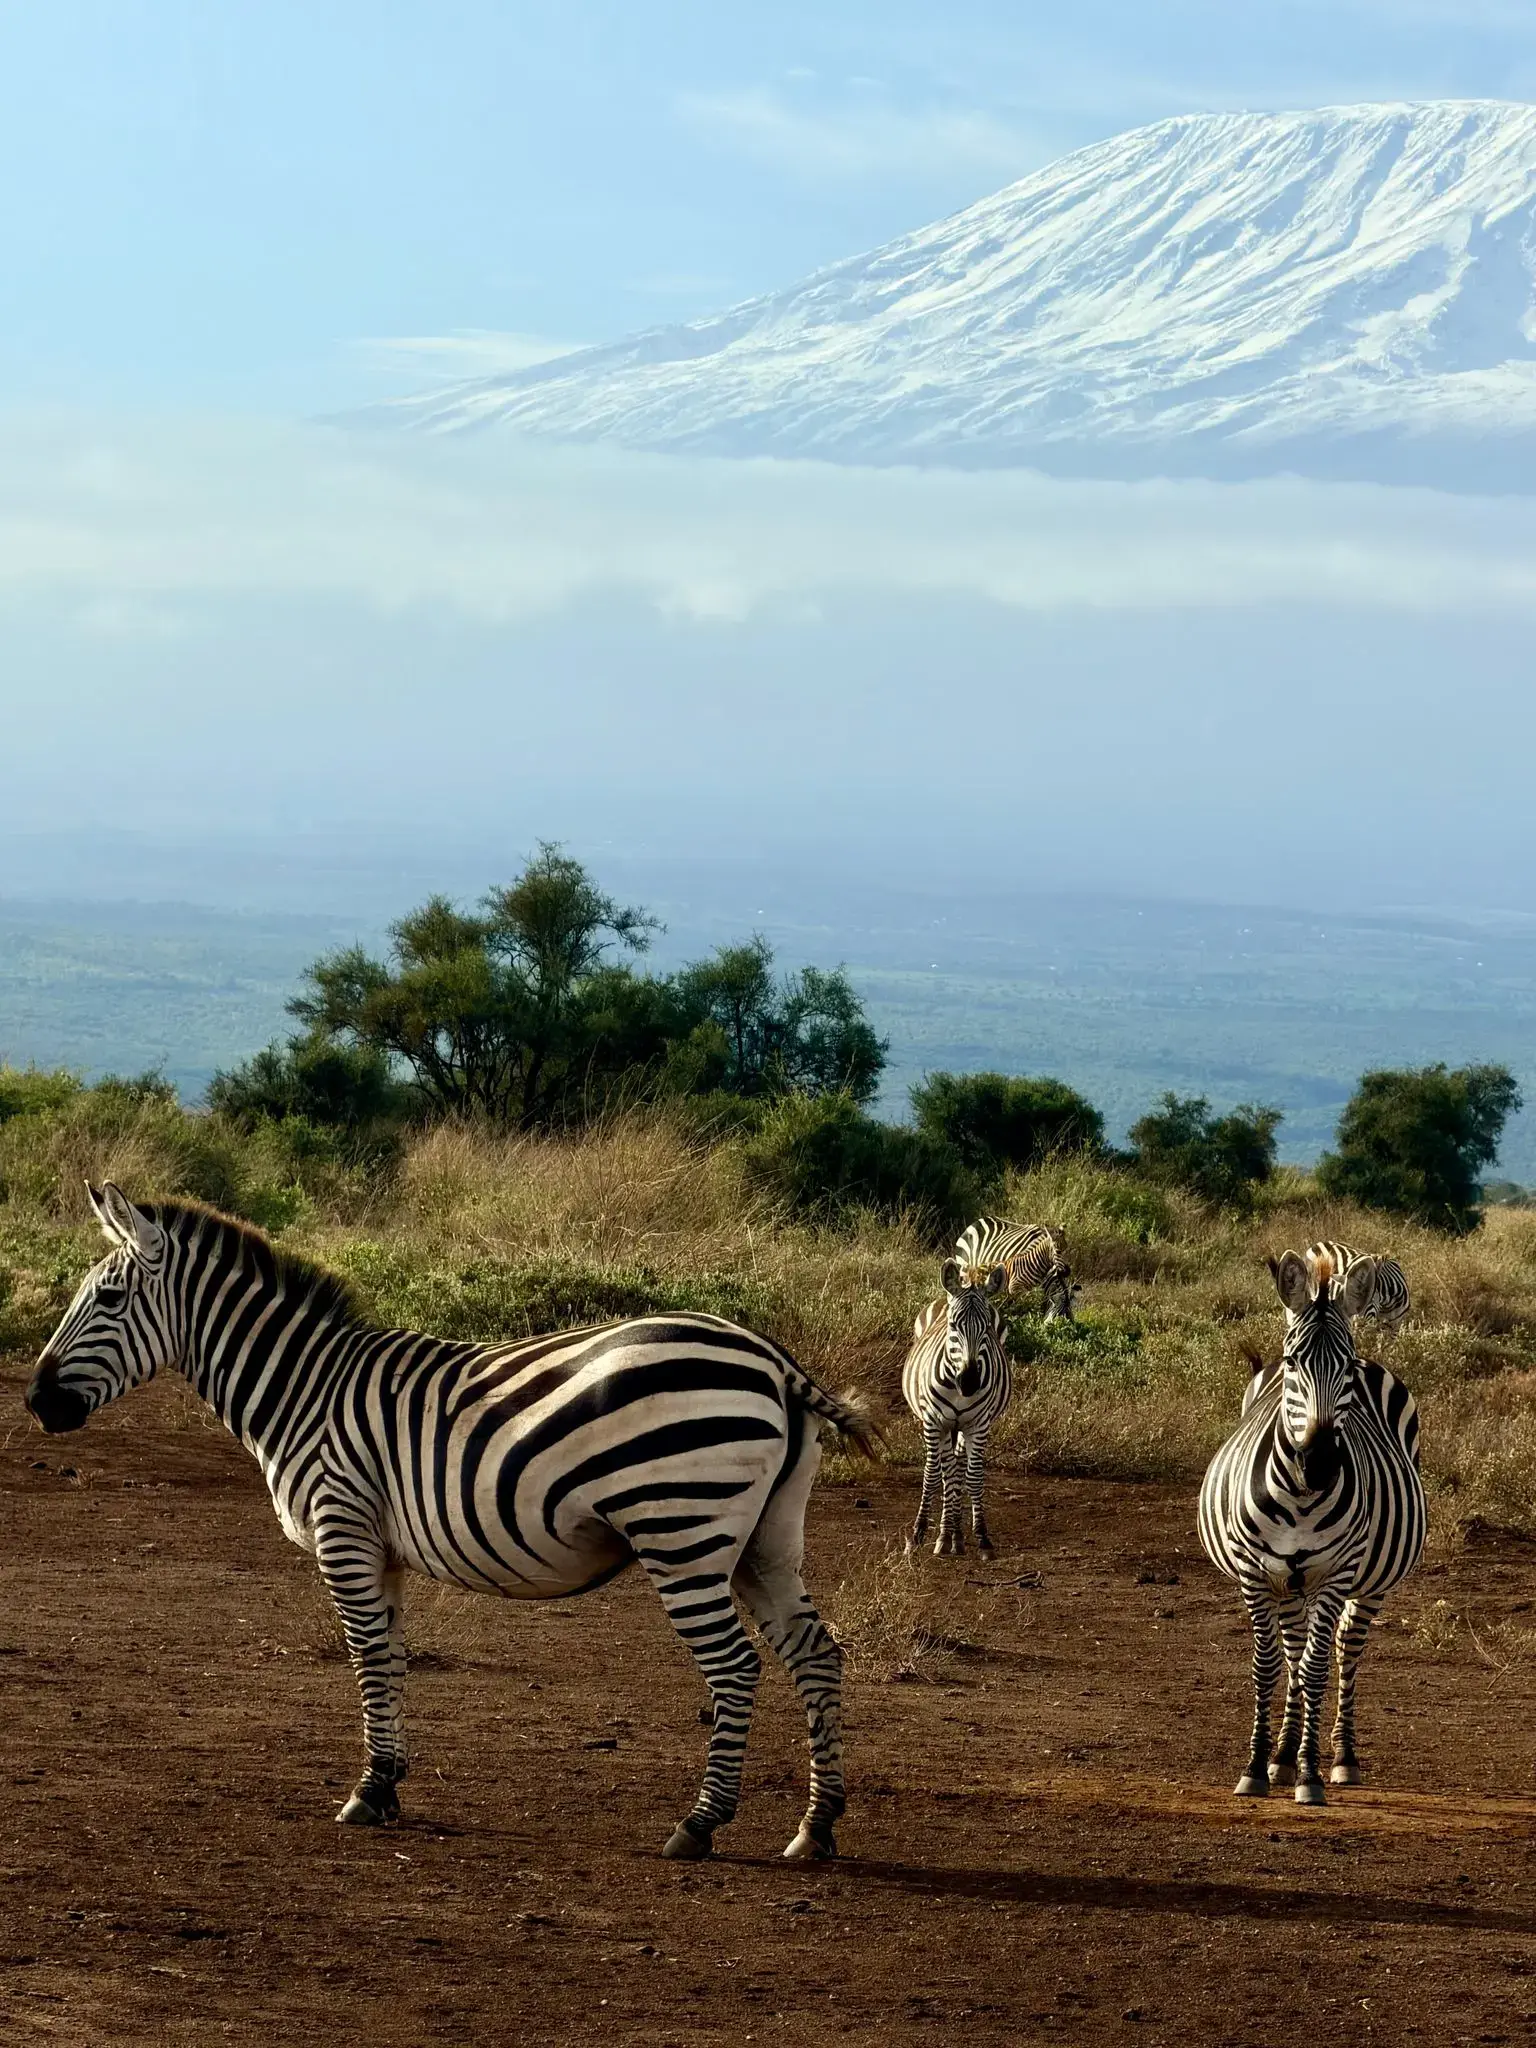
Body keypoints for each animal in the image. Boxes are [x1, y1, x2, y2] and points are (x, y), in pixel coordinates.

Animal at [25, 1186, 876, 1862]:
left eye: (107, 1301)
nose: (36, 1402)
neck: (301, 1388)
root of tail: (770, 1357)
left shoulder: (341, 1526)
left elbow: (366, 1655)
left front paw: (368, 1792)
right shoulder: (380, 1546)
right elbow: (393, 1657)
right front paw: (390, 1782)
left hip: (682, 1530)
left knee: (735, 1667)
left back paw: (699, 1825)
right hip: (766, 1540)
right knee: (816, 1656)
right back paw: (817, 1827)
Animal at [902, 1258, 1011, 1558]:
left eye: (987, 1327)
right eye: (953, 1325)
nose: (970, 1382)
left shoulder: (979, 1424)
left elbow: (973, 1477)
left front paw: (982, 1538)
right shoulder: (934, 1421)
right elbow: (935, 1475)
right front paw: (924, 1534)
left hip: (963, 1427)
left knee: (958, 1471)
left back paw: (956, 1534)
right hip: (940, 1425)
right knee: (943, 1472)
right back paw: (941, 1533)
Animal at [1198, 1250, 1425, 1805]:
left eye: (1345, 1367)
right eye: (1294, 1362)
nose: (1319, 1465)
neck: (1300, 1498)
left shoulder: (1335, 1574)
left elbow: (1318, 1667)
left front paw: (1311, 1775)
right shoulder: (1254, 1572)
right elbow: (1268, 1666)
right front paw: (1258, 1767)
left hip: (1368, 1583)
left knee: (1344, 1651)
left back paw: (1340, 1757)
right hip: (1287, 1582)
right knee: (1292, 1653)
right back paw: (1282, 1756)